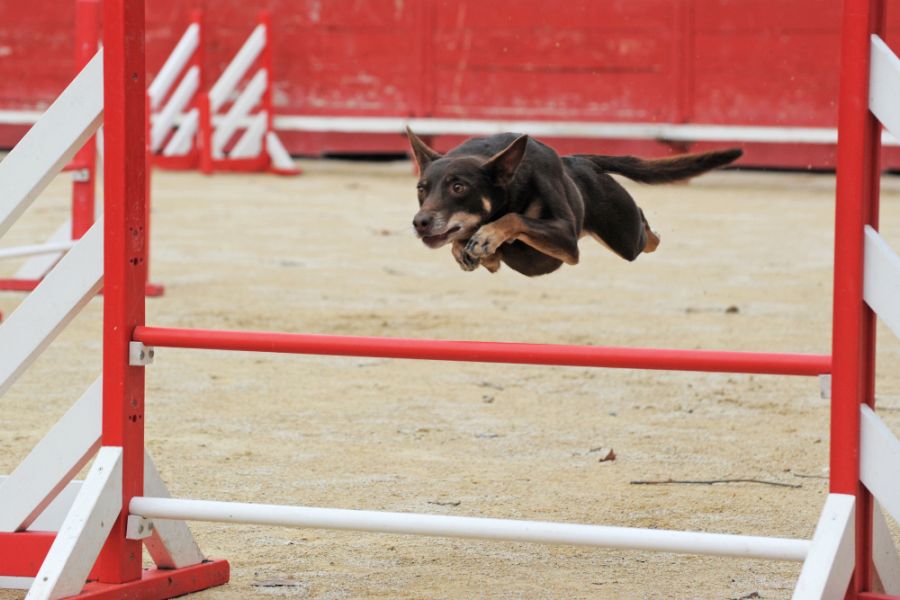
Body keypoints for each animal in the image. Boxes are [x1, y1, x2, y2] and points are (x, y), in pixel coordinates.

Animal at [410, 128, 744, 276]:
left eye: (458, 187)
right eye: (421, 189)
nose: (420, 222)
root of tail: (582, 161)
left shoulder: (568, 243)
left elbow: (514, 219)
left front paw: (488, 236)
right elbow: (470, 244)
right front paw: (470, 249)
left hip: (624, 237)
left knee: (645, 234)